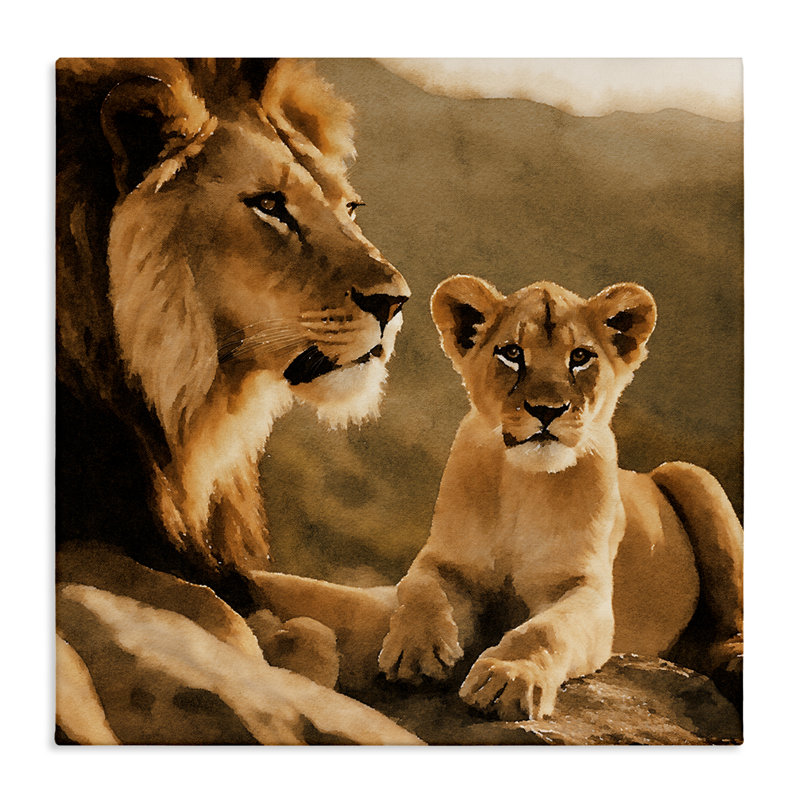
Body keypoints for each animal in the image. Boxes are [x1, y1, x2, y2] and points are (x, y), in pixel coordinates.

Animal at [374, 275, 743, 720]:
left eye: (580, 357)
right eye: (512, 353)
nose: (547, 409)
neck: (525, 483)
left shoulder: (587, 591)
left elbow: (545, 630)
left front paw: (508, 677)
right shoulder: (445, 559)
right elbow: (419, 589)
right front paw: (415, 651)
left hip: (690, 473)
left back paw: (735, 664)